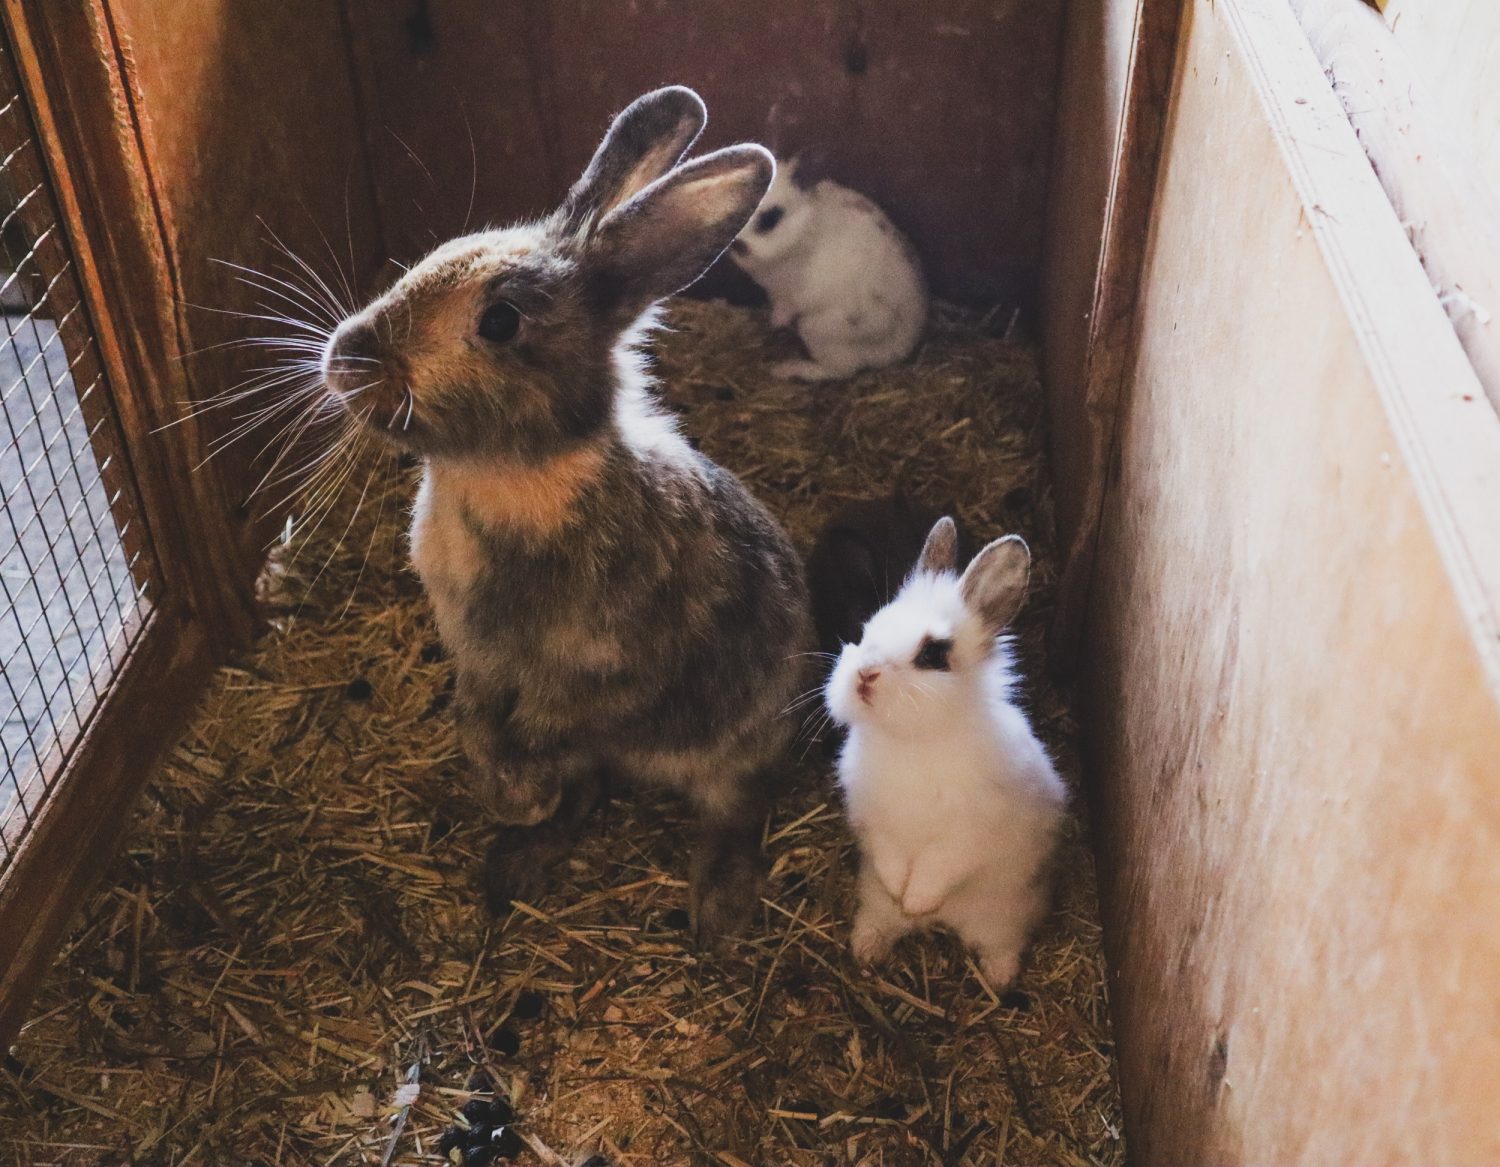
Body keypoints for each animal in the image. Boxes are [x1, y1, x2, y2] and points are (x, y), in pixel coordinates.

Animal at [315, 86, 810, 942]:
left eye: (501, 322)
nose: (344, 358)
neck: (508, 476)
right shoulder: (477, 659)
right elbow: (478, 721)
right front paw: (510, 797)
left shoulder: (608, 671)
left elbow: (552, 721)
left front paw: (517, 791)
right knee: (590, 791)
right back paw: (519, 858)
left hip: (738, 740)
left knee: (735, 808)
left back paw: (718, 906)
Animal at [726, 154, 924, 379]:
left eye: (772, 217)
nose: (738, 245)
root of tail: (901, 347)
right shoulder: (777, 293)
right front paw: (774, 322)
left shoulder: (797, 296)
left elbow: (790, 307)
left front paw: (778, 323)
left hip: (819, 329)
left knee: (842, 369)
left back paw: (786, 369)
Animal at [822, 516, 1068, 984]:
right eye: (867, 631)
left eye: (933, 654)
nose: (864, 675)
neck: (913, 740)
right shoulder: (874, 818)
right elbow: (890, 855)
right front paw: (902, 893)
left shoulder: (972, 830)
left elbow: (941, 862)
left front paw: (917, 899)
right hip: (874, 904)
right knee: (881, 921)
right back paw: (868, 949)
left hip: (1003, 916)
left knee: (1001, 945)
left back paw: (998, 976)